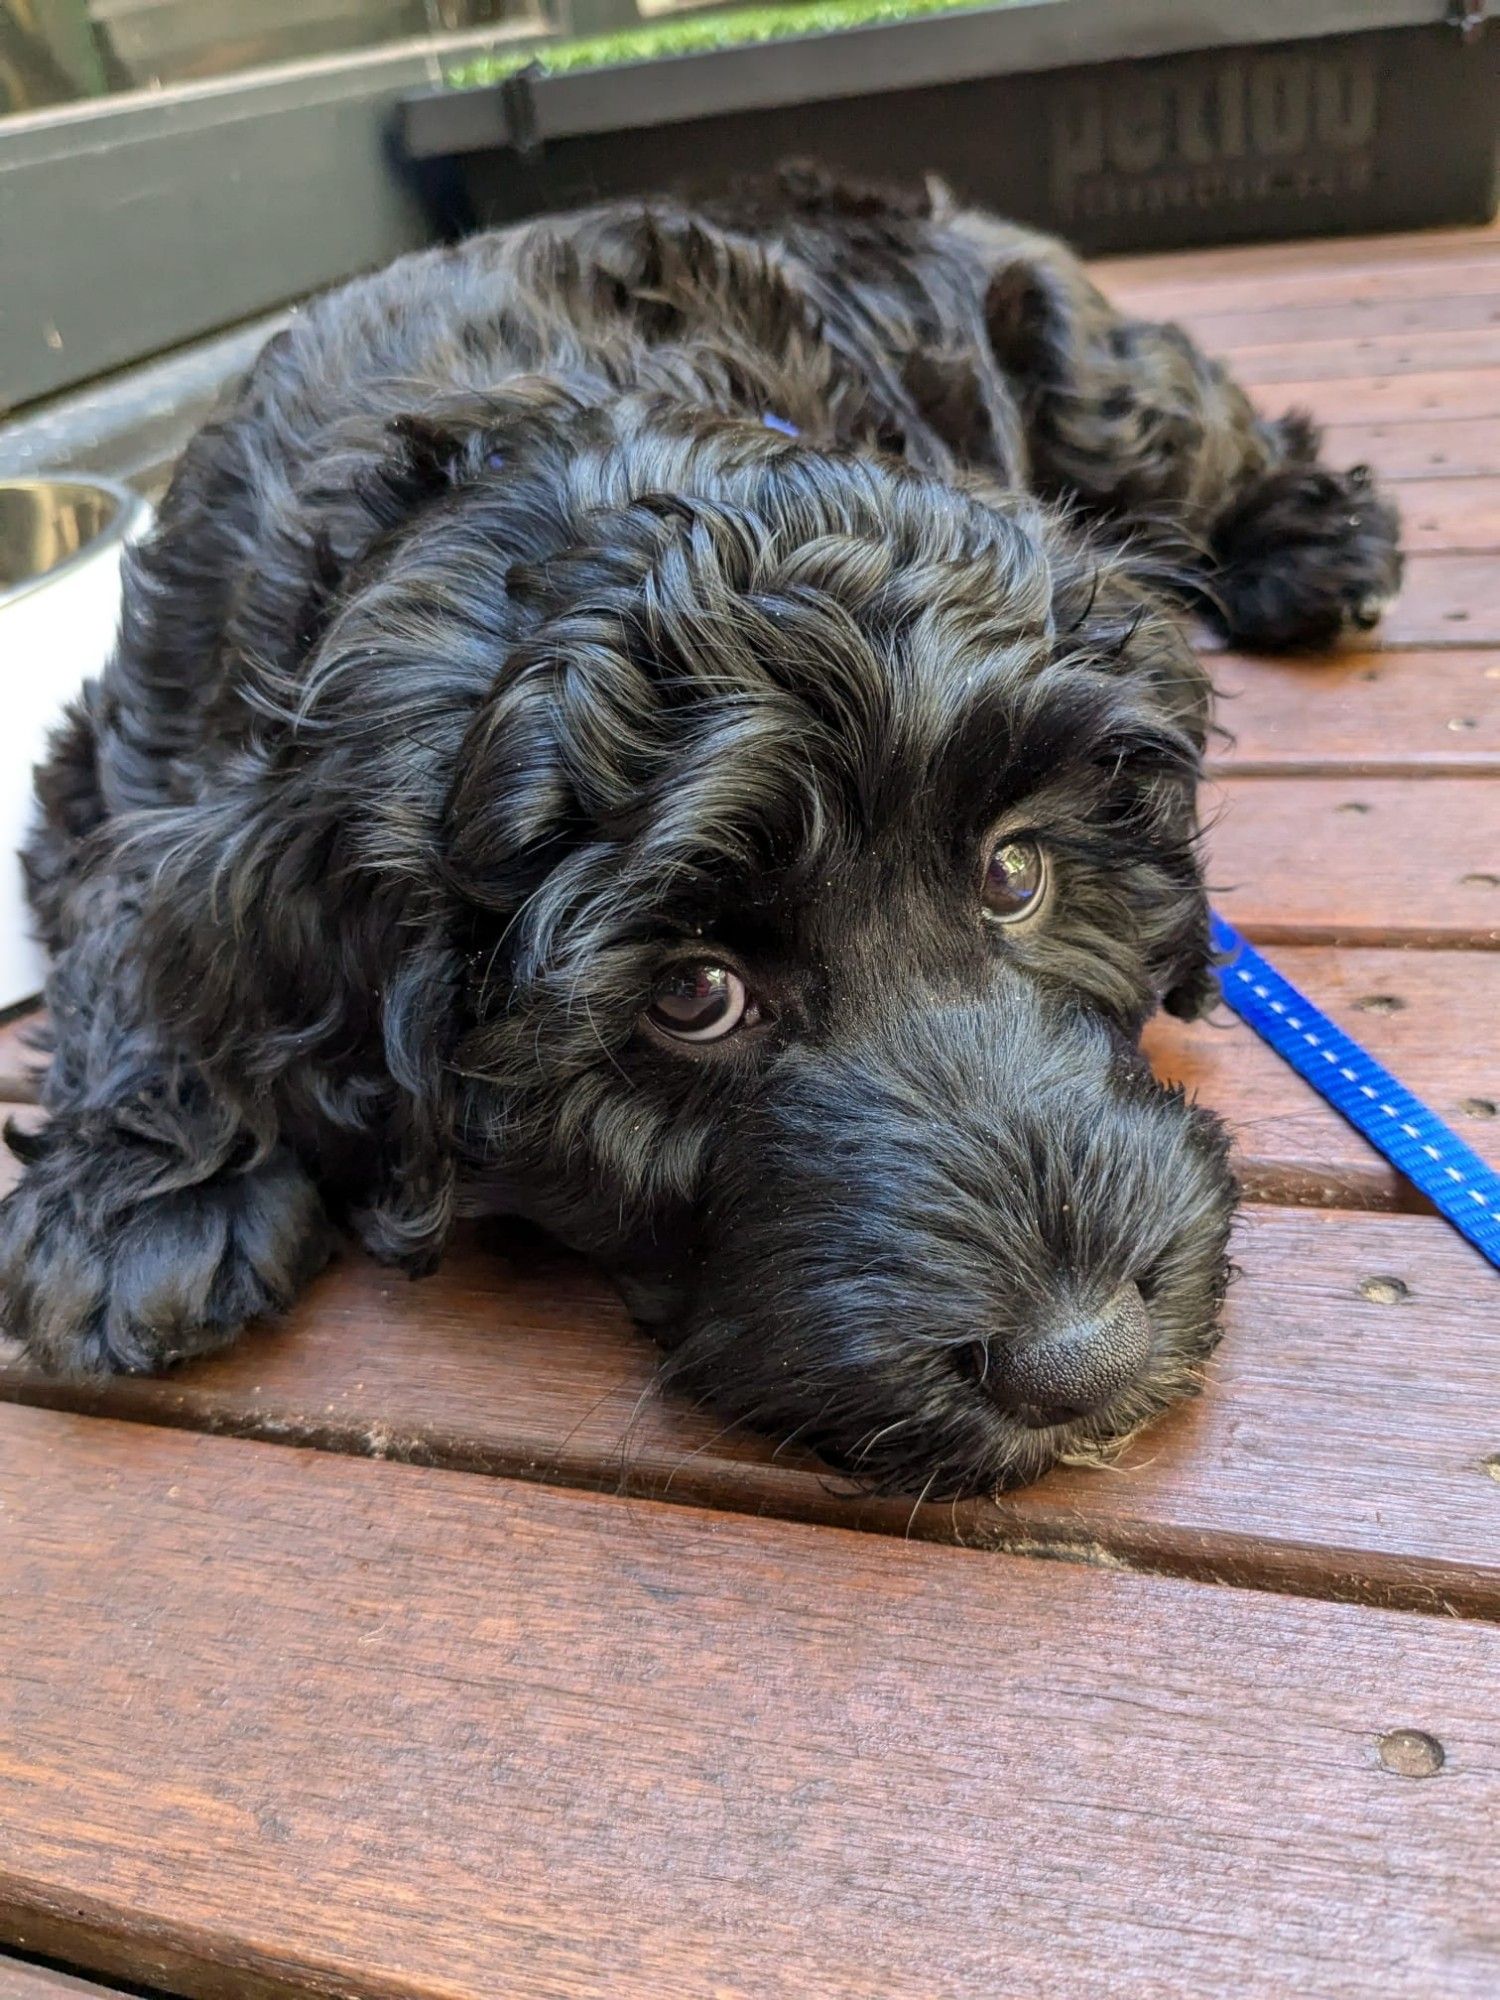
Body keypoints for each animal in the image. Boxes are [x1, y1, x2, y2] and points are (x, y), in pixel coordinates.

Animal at [2, 176, 1408, 1504]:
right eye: (695, 993)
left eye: (1015, 873)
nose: (1085, 1358)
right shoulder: (120, 741)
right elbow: (131, 908)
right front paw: (133, 1197)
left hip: (1074, 353)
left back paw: (1314, 538)